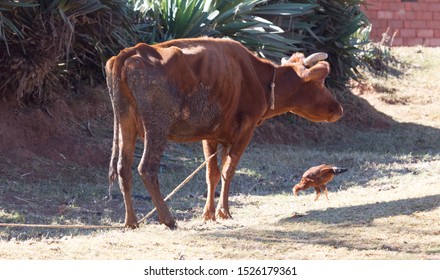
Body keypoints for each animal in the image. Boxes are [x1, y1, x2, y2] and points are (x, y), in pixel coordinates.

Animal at [106, 36, 344, 230]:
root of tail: (132, 51)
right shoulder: (246, 129)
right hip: (157, 126)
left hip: (125, 123)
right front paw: (224, 212)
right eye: (321, 81)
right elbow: (228, 170)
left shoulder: (212, 135)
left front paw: (209, 214)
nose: (338, 108)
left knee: (123, 168)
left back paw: (131, 222)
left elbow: (212, 173)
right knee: (146, 168)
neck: (260, 79)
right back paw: (168, 219)